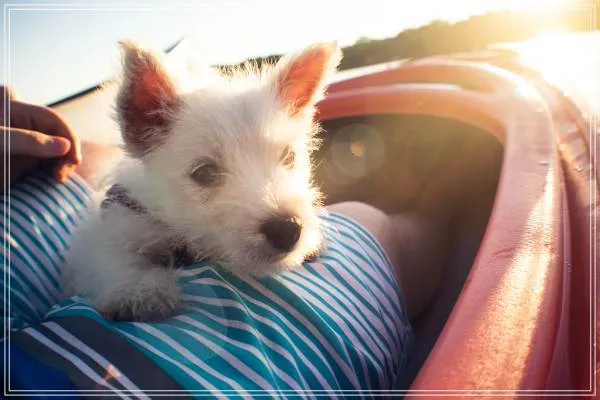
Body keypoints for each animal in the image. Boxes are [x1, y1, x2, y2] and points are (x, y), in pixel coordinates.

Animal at [62, 40, 342, 322]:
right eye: (204, 172)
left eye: (288, 156)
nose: (288, 229)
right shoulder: (108, 227)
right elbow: (109, 256)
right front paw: (137, 289)